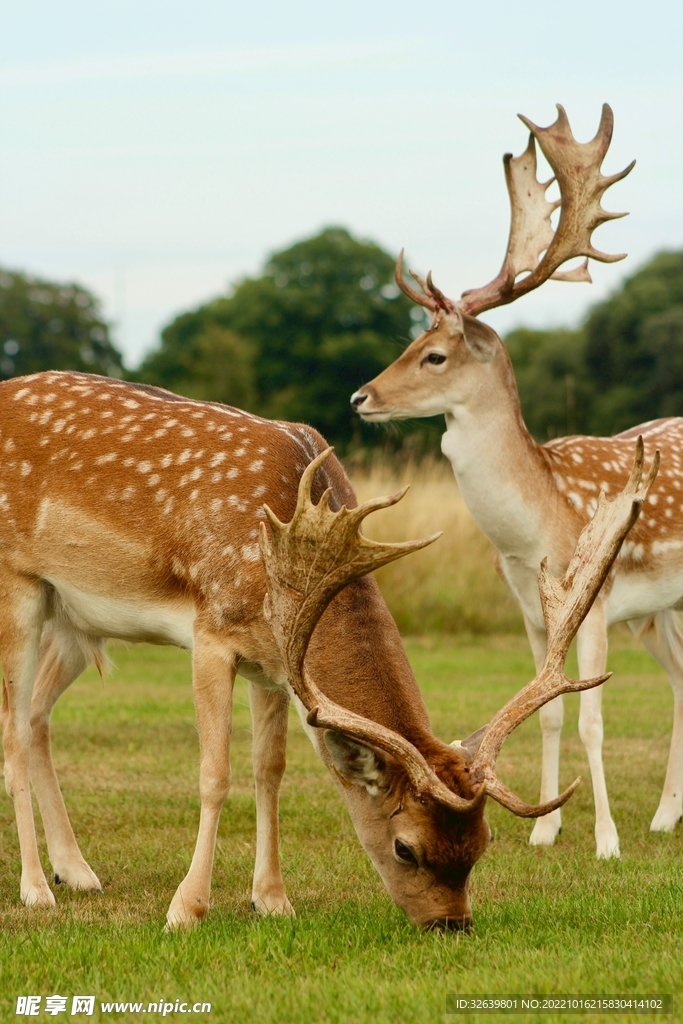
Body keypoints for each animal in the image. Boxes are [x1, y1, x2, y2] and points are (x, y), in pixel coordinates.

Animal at [0, 371, 652, 929]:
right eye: (406, 848)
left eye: (482, 844)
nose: (453, 925)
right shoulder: (212, 631)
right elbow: (215, 773)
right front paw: (186, 908)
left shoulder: (271, 664)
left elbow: (270, 770)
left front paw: (271, 899)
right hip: (21, 588)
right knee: (13, 727)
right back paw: (35, 888)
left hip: (75, 618)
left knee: (35, 718)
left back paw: (76, 871)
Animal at [350, 102, 681, 860]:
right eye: (410, 342)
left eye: (434, 355)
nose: (360, 397)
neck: (532, 533)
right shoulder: (531, 611)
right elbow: (550, 716)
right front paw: (546, 829)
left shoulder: (594, 601)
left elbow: (590, 720)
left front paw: (606, 842)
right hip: (659, 612)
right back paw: (665, 816)